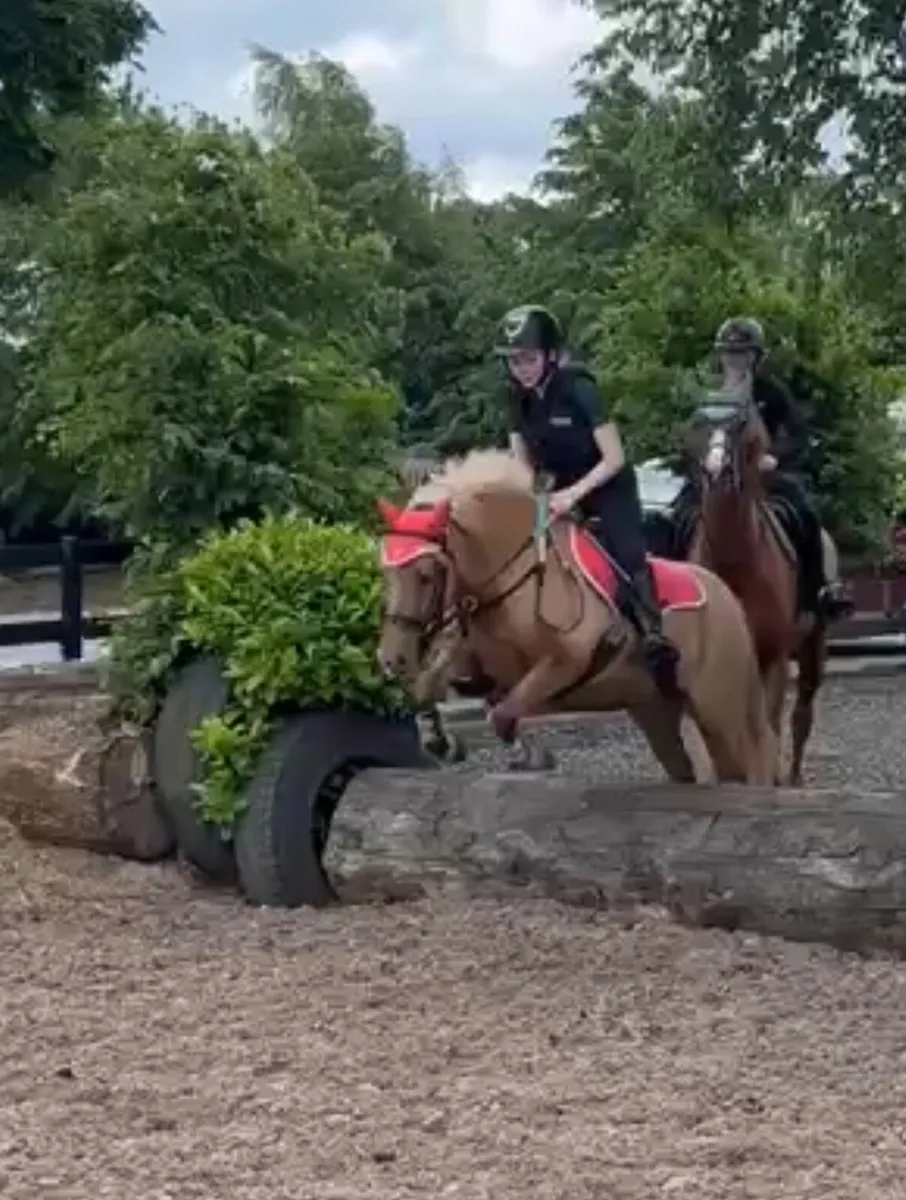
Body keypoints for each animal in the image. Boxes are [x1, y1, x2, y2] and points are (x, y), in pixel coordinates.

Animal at [376, 449, 777, 785]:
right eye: (385, 570)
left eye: (426, 574)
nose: (391, 659)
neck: (514, 578)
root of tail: (726, 595)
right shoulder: (477, 667)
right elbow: (433, 690)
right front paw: (441, 741)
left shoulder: (566, 662)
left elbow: (502, 714)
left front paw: (531, 755)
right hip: (656, 709)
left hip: (718, 707)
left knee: (749, 763)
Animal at [683, 388, 830, 785]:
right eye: (698, 422)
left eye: (741, 422)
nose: (716, 470)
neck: (737, 564)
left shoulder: (774, 656)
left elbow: (770, 725)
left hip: (812, 645)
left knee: (801, 714)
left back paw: (791, 778)